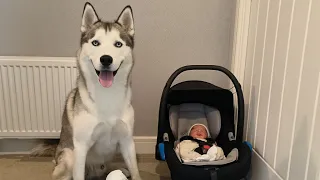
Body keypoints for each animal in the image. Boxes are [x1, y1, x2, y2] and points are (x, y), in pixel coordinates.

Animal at [31, 2, 141, 180]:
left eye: (118, 44)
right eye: (95, 42)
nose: (106, 59)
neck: (106, 95)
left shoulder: (127, 141)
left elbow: (136, 171)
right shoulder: (81, 147)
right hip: (69, 157)